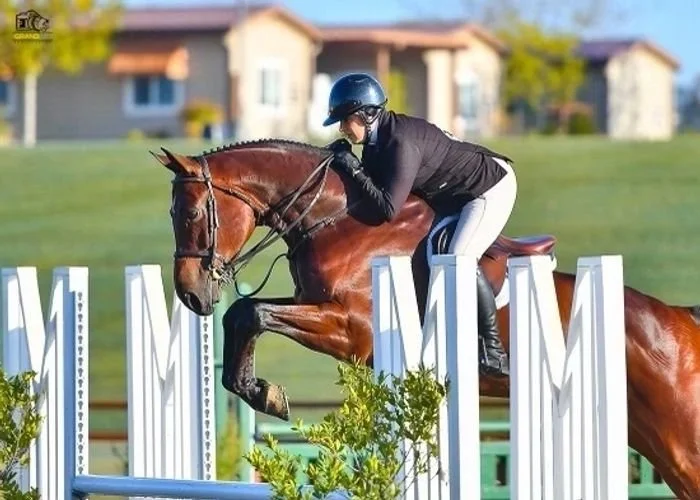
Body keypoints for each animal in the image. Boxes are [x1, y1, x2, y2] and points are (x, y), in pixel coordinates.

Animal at [151, 138, 700, 499]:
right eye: (173, 214)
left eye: (192, 214)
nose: (191, 294)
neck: (339, 219)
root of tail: (678, 319)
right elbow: (242, 313)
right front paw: (258, 388)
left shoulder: (350, 331)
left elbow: (251, 311)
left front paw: (266, 393)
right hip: (654, 442)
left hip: (682, 439)